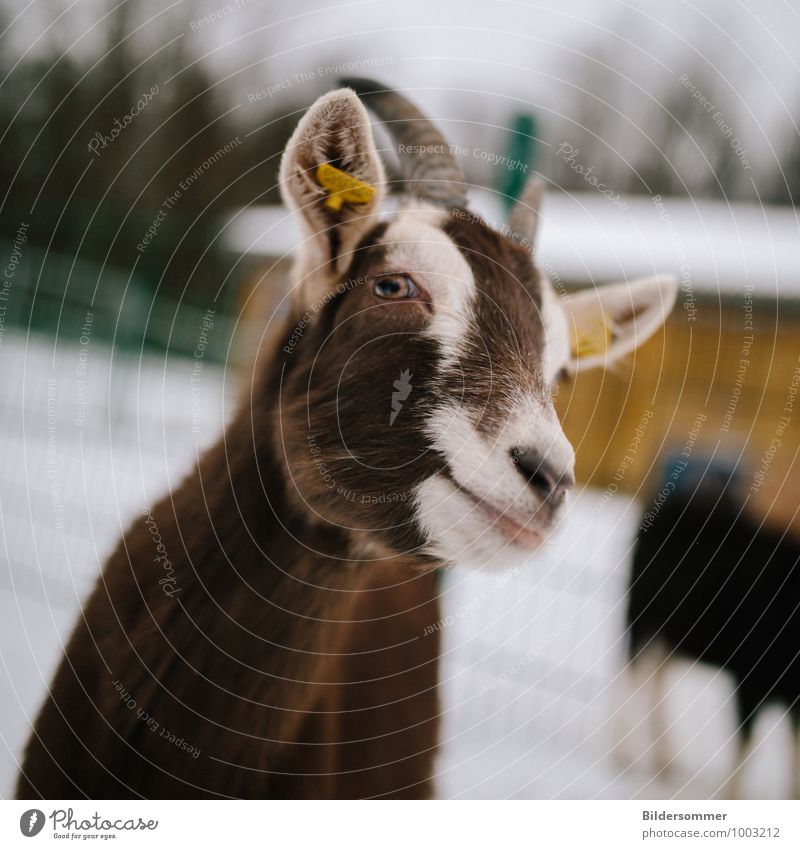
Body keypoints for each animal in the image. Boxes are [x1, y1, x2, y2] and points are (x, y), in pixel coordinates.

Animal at [624, 458, 800, 796]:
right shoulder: (751, 677)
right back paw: (620, 754)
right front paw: (731, 796)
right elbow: (745, 744)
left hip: (677, 634)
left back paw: (664, 760)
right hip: (641, 611)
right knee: (631, 671)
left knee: (657, 678)